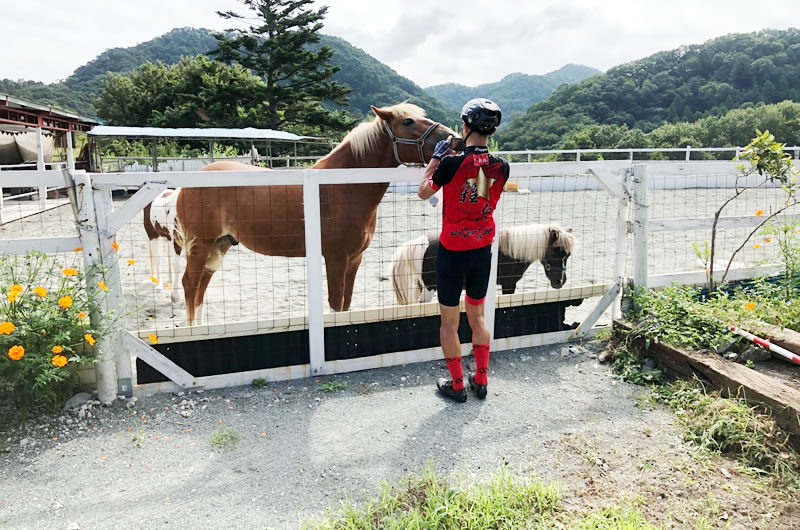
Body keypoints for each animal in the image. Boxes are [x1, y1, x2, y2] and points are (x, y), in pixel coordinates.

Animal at [174, 103, 456, 322]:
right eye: (407, 121)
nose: (453, 138)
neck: (342, 187)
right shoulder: (335, 257)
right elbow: (335, 303)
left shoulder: (354, 259)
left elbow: (346, 303)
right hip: (202, 245)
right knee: (190, 285)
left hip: (219, 244)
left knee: (200, 289)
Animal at [392, 223, 576, 306]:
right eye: (555, 252)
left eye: (568, 255)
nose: (560, 281)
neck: (511, 250)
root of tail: (420, 242)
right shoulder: (509, 284)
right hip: (429, 289)